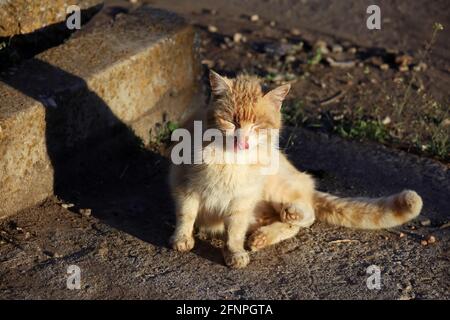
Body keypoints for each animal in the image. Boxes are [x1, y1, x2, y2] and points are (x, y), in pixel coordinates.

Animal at [168, 71, 422, 268]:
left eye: (257, 125)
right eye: (231, 121)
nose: (243, 140)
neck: (230, 161)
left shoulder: (242, 200)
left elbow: (235, 231)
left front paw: (234, 253)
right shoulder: (186, 187)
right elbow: (186, 216)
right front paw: (182, 240)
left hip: (275, 187)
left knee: (306, 215)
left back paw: (286, 217)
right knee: (289, 222)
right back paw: (263, 236)